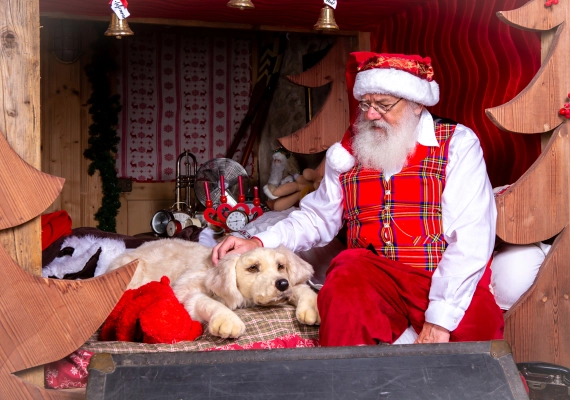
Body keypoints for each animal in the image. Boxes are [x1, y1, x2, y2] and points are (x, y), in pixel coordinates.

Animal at [104, 239, 318, 340]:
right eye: (253, 268)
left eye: (281, 266)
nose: (282, 284)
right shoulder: (185, 291)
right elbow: (207, 301)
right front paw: (227, 320)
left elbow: (301, 288)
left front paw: (313, 307)